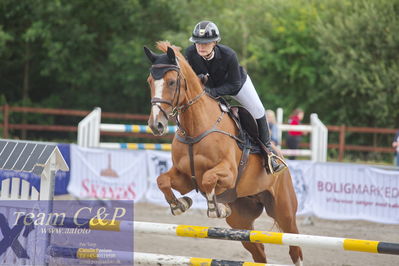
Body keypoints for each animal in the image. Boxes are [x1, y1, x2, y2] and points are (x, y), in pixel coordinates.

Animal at [144, 40, 304, 264]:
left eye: (172, 82)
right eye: (150, 81)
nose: (156, 125)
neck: (196, 128)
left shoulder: (228, 173)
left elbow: (209, 179)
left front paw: (215, 208)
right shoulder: (185, 178)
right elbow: (162, 180)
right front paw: (179, 204)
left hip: (284, 211)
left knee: (295, 247)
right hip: (240, 219)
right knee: (258, 251)